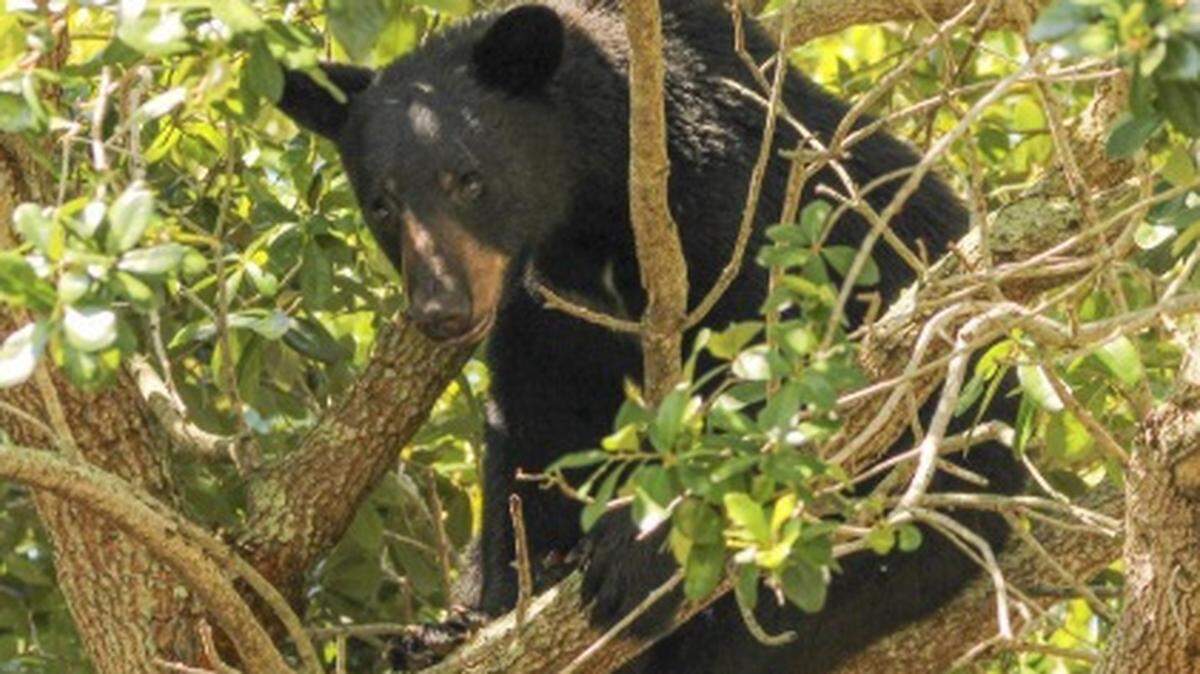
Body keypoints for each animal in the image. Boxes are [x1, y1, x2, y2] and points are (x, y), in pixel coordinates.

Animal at [276, 2, 1022, 672]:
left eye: (468, 179)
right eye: (382, 203)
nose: (442, 310)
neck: (593, 212)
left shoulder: (744, 213)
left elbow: (789, 376)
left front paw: (636, 553)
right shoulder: (544, 310)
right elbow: (531, 433)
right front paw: (487, 607)